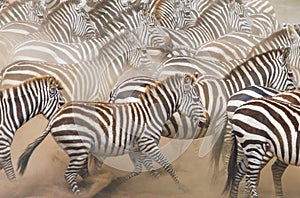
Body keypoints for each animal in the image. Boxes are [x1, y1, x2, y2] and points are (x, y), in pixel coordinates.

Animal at [18, 72, 211, 195]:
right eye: (197, 99)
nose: (208, 120)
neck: (151, 113)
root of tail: (54, 118)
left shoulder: (137, 147)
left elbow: (139, 169)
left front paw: (114, 184)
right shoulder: (148, 143)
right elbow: (166, 164)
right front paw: (183, 188)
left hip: (77, 149)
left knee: (79, 171)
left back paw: (92, 184)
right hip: (78, 148)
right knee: (69, 175)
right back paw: (82, 192)